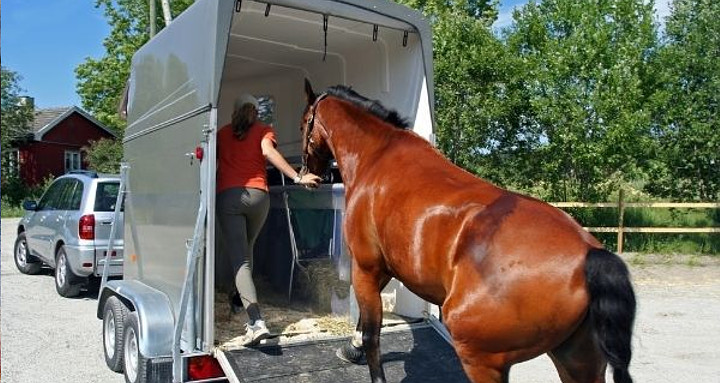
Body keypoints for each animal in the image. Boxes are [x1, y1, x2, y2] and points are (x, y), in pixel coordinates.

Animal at [298, 79, 636, 383]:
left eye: (304, 124)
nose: (307, 172)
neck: (378, 155)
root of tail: (591, 255)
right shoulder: (384, 268)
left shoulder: (366, 267)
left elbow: (372, 335)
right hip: (577, 360)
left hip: (482, 360)